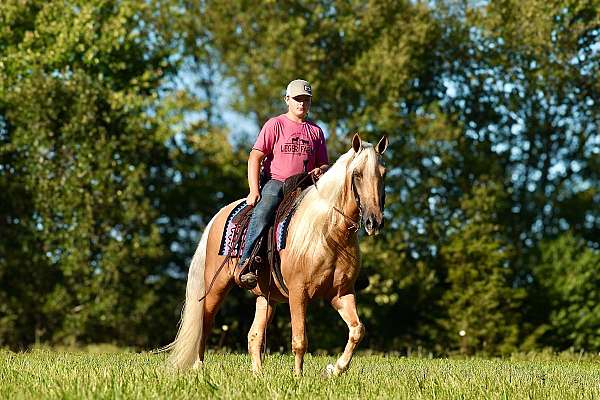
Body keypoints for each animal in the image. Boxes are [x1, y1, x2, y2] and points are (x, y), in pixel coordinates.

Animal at [165, 134, 390, 376]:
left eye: (384, 173)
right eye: (357, 174)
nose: (374, 221)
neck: (328, 231)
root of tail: (221, 214)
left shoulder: (341, 293)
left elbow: (357, 330)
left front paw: (335, 369)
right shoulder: (298, 293)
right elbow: (300, 340)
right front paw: (298, 377)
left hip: (267, 298)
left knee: (254, 336)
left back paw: (258, 374)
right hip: (216, 286)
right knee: (205, 323)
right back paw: (198, 368)